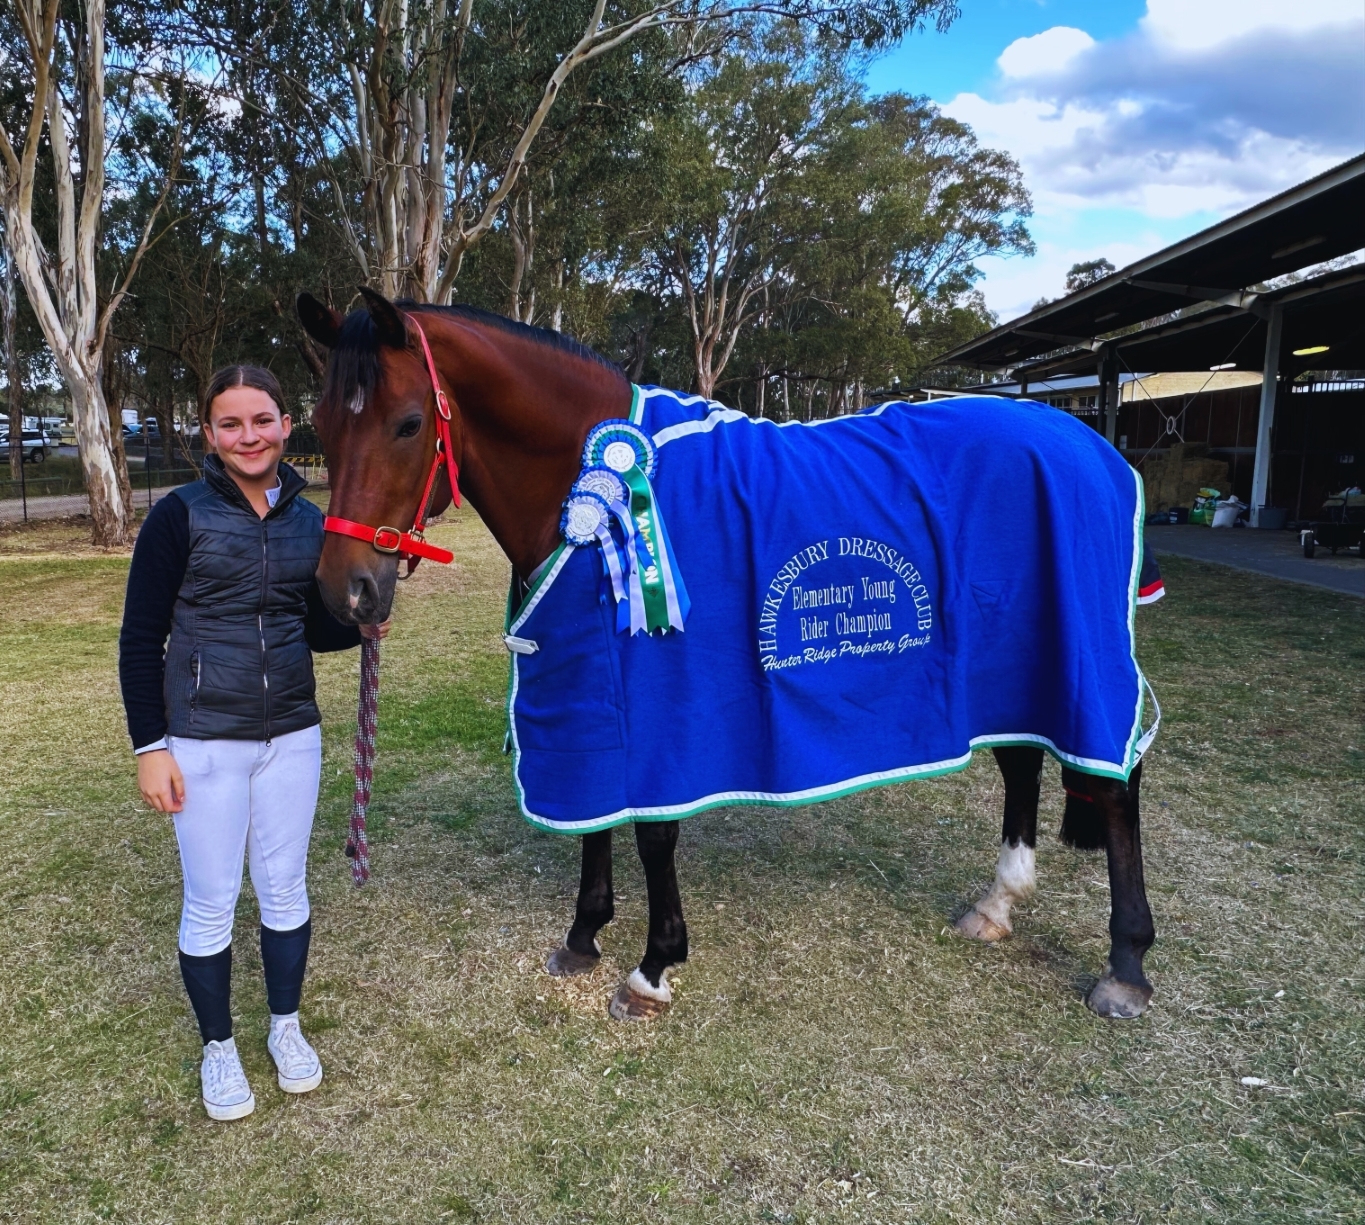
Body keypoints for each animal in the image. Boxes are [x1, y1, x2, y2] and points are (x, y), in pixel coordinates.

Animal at [296, 289, 1152, 1021]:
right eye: (321, 425)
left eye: (409, 422)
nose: (345, 593)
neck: (591, 492)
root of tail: (1092, 445)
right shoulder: (588, 682)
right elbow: (599, 813)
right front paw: (583, 936)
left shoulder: (672, 699)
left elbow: (653, 832)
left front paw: (652, 968)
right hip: (1013, 665)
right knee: (1023, 762)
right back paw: (996, 904)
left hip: (1078, 653)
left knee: (1115, 785)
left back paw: (1125, 966)